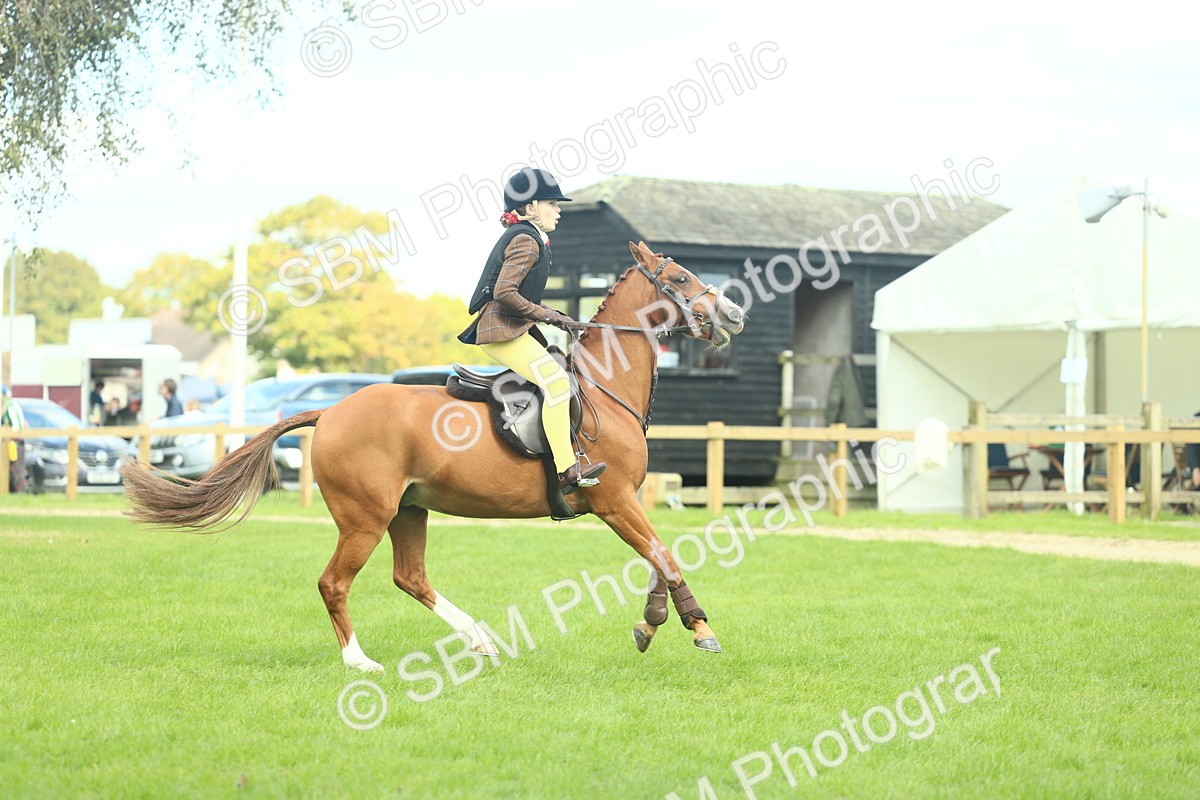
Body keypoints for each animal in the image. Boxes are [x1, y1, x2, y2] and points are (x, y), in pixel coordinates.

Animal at [122, 241, 747, 671]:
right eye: (680, 277)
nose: (735, 316)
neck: (603, 387)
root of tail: (331, 412)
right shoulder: (614, 500)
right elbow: (665, 556)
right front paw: (698, 628)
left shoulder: (627, 502)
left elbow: (658, 559)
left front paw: (652, 624)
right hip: (366, 517)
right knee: (334, 583)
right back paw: (360, 661)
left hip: (408, 510)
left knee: (411, 577)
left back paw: (479, 638)